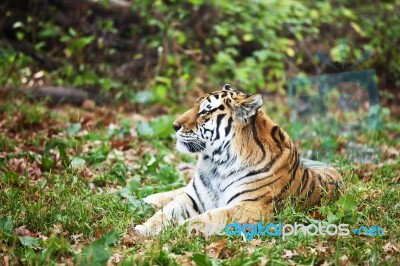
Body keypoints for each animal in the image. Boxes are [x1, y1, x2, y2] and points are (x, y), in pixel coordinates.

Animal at [132, 84, 344, 236]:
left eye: (204, 111)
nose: (174, 125)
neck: (216, 163)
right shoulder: (192, 198)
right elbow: (166, 212)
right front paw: (142, 230)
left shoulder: (250, 206)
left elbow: (208, 218)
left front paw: (179, 230)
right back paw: (148, 198)